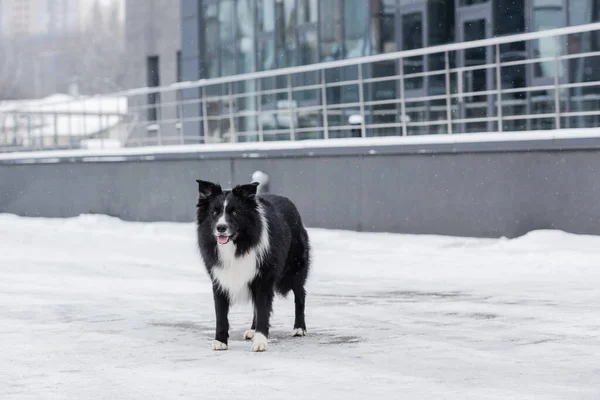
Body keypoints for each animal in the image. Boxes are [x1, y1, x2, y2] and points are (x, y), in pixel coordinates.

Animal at [196, 180, 312, 352]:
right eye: (214, 212)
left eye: (235, 213)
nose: (221, 228)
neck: (238, 245)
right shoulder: (220, 278)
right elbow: (221, 313)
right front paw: (220, 341)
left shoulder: (264, 279)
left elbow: (263, 308)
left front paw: (260, 341)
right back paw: (252, 330)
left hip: (294, 270)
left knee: (300, 295)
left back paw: (299, 328)